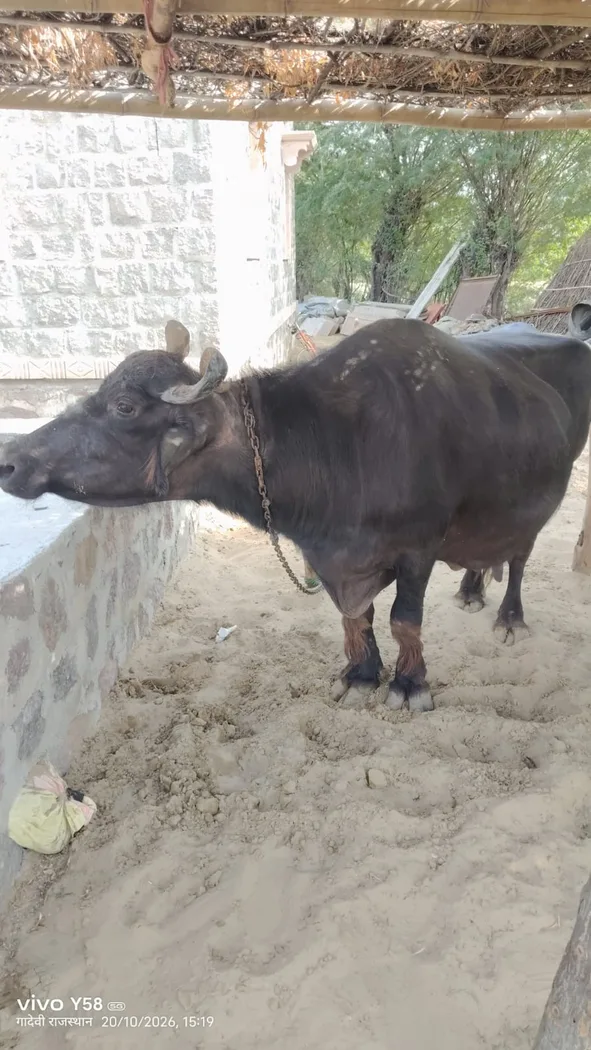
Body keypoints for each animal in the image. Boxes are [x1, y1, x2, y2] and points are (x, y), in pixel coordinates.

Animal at [2, 309, 591, 712]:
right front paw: (360, 675)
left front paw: (408, 684)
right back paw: (471, 589)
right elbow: (357, 617)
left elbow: (404, 621)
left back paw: (509, 616)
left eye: (123, 407)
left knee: (520, 556)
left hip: (544, 499)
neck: (340, 440)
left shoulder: (418, 549)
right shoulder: (336, 560)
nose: (11, 458)